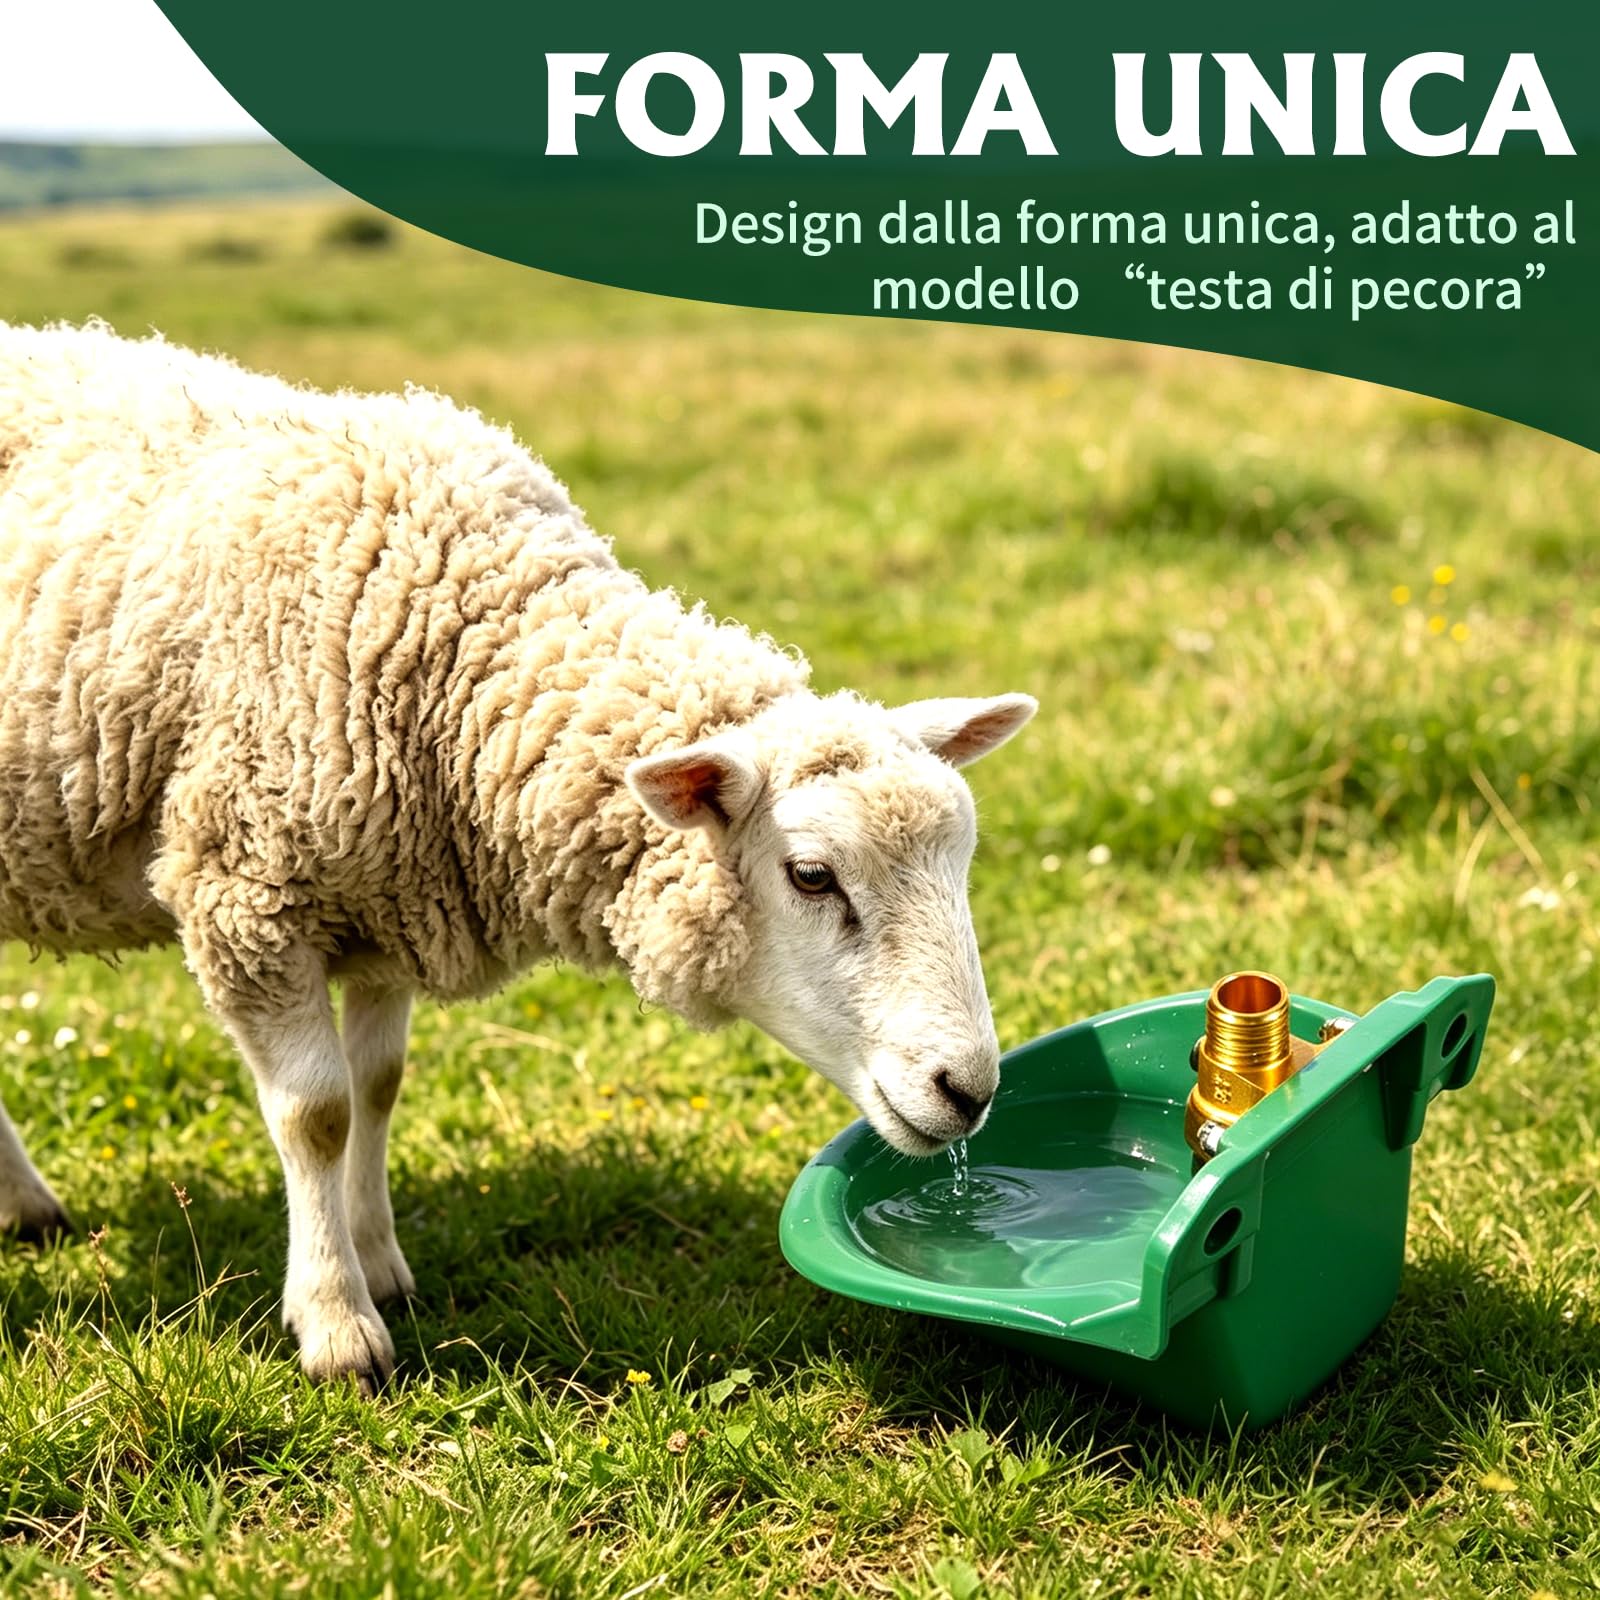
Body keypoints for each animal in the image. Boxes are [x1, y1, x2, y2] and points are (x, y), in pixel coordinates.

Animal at [0, 320, 1036, 1390]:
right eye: (812, 876)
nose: (970, 1092)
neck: (447, 630)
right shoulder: (244, 891)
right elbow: (319, 1112)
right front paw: (337, 1322)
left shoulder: (386, 898)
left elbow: (379, 1086)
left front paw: (380, 1262)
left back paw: (26, 1208)